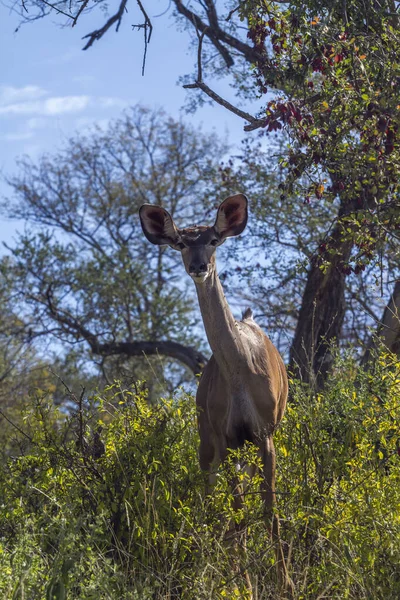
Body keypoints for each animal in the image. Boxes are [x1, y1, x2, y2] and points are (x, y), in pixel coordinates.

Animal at [140, 195, 290, 592]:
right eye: (180, 242)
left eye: (213, 240)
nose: (198, 266)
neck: (239, 372)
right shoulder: (228, 437)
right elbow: (237, 513)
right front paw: (246, 586)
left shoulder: (264, 431)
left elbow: (269, 510)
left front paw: (286, 584)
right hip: (207, 443)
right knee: (211, 502)